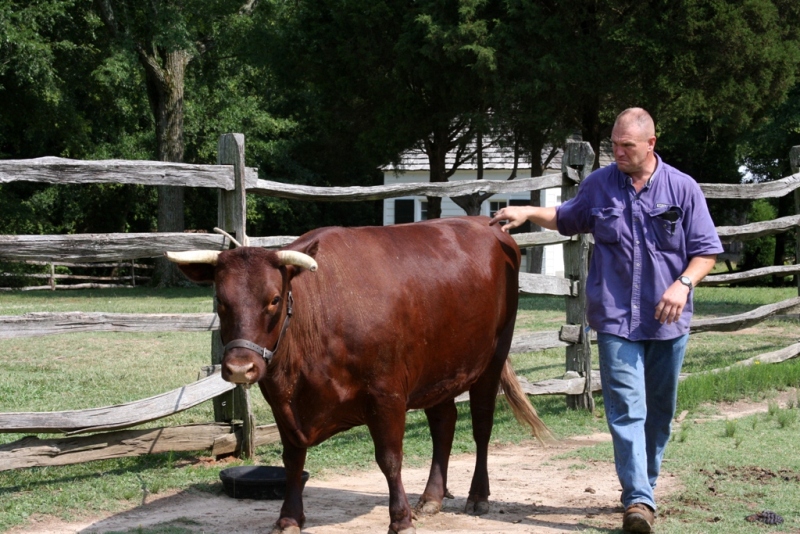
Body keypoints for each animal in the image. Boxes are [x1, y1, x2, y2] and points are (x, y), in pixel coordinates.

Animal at [167, 218, 552, 534]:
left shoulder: (387, 394)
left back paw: (478, 496)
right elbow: (292, 461)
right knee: (444, 422)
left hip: (493, 356)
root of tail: (488, 225)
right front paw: (288, 519)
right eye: (220, 300)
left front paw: (400, 520)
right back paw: (431, 498)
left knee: (481, 425)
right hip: (437, 368)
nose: (239, 367)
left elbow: (390, 459)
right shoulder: (282, 403)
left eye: (274, 299)